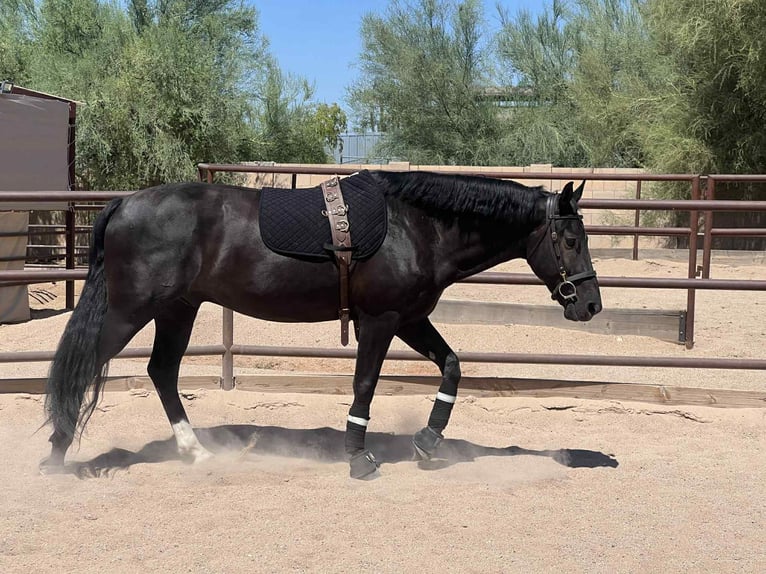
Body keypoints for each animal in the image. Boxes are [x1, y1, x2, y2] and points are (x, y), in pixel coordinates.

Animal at [41, 170, 602, 479]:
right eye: (572, 240)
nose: (591, 304)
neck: (415, 226)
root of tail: (124, 203)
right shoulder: (380, 321)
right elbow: (365, 384)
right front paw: (358, 458)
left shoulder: (410, 319)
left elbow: (452, 368)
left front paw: (427, 440)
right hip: (131, 312)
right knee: (82, 368)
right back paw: (56, 453)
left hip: (178, 309)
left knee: (161, 372)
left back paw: (195, 451)